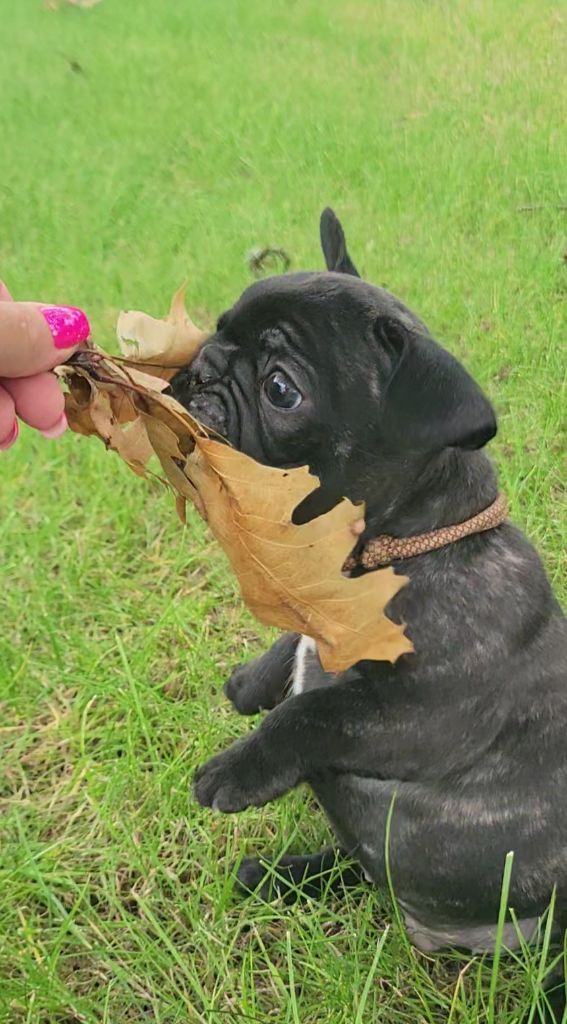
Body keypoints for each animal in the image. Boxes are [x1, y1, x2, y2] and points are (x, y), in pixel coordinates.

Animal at [169, 209, 567, 1021]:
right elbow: (296, 642)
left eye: (280, 388)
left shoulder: (420, 715)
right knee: (358, 865)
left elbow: (315, 713)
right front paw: (253, 680)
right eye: (218, 327)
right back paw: (282, 875)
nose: (202, 367)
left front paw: (236, 765)